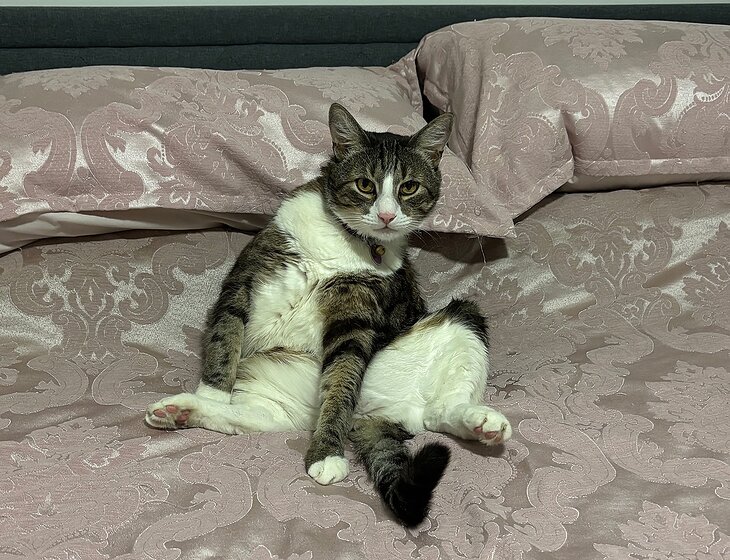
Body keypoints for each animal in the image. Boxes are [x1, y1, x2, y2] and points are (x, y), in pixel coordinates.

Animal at [145, 103, 512, 526]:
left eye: (408, 188)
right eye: (365, 185)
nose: (387, 216)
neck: (346, 243)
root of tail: (376, 416)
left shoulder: (356, 316)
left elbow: (341, 380)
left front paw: (326, 454)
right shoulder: (246, 278)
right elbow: (226, 333)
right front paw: (211, 390)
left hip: (462, 318)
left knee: (437, 413)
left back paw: (481, 423)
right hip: (275, 395)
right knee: (244, 416)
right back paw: (182, 410)